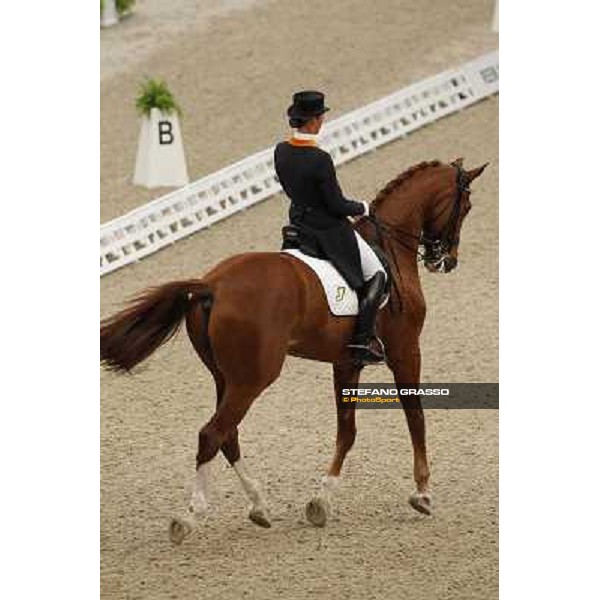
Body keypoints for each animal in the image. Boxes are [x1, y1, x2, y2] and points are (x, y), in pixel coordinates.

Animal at [101, 158, 488, 544]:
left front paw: (321, 501)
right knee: (212, 434)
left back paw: (259, 506)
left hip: (225, 377)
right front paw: (422, 494)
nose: (446, 261)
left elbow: (346, 430)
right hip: (253, 378)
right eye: (466, 206)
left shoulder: (347, 361)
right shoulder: (405, 350)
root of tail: (213, 283)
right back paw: (190, 516)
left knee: (228, 435)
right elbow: (416, 417)